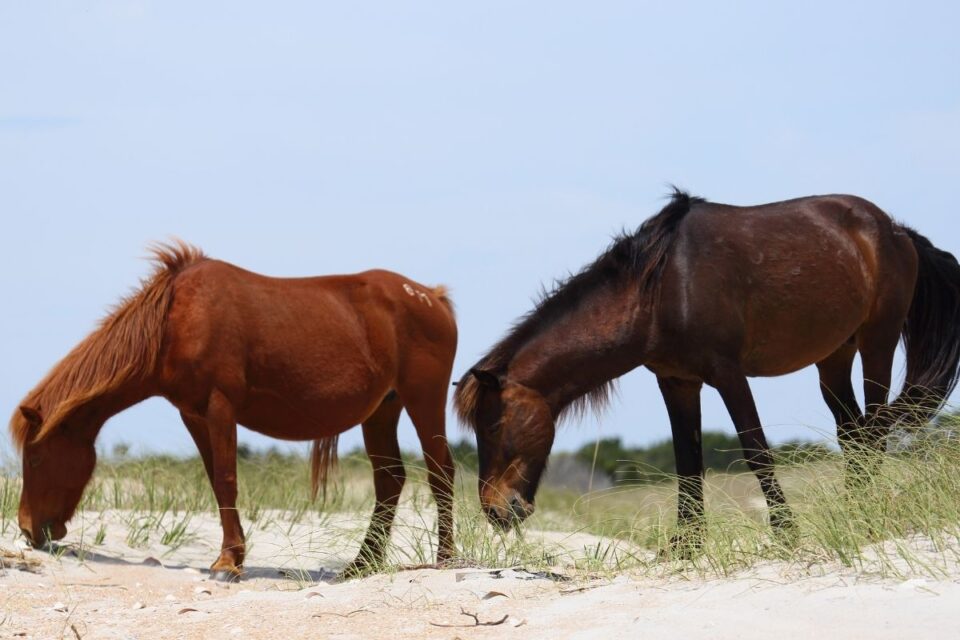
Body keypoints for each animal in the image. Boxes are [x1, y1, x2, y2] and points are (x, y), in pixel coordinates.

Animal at [10, 242, 462, 576]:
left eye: (34, 459)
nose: (28, 530)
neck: (172, 322)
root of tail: (433, 297)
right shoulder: (193, 414)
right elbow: (216, 480)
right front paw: (234, 553)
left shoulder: (219, 407)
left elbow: (227, 479)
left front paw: (227, 563)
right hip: (382, 410)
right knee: (389, 480)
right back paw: (362, 564)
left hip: (423, 400)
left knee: (440, 472)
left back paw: (444, 559)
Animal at [454, 191, 960, 552]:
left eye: (493, 425)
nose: (496, 511)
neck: (658, 290)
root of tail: (896, 231)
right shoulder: (677, 382)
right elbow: (688, 464)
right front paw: (686, 546)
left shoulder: (727, 374)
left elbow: (757, 452)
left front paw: (786, 535)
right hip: (834, 355)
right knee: (853, 434)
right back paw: (854, 512)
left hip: (877, 342)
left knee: (873, 431)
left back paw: (871, 514)